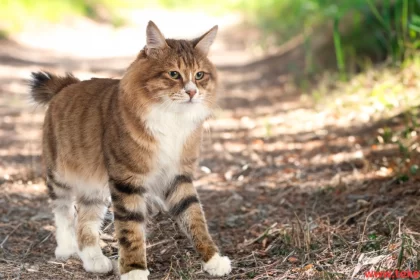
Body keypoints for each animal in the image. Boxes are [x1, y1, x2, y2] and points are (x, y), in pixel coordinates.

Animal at [28, 20, 233, 278]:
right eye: (173, 74)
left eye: (199, 75)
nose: (191, 92)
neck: (171, 119)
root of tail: (68, 85)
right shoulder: (127, 180)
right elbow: (130, 229)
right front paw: (134, 269)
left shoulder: (178, 176)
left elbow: (195, 219)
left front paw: (213, 259)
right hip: (60, 175)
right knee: (63, 211)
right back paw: (66, 248)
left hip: (94, 188)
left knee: (85, 222)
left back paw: (94, 260)